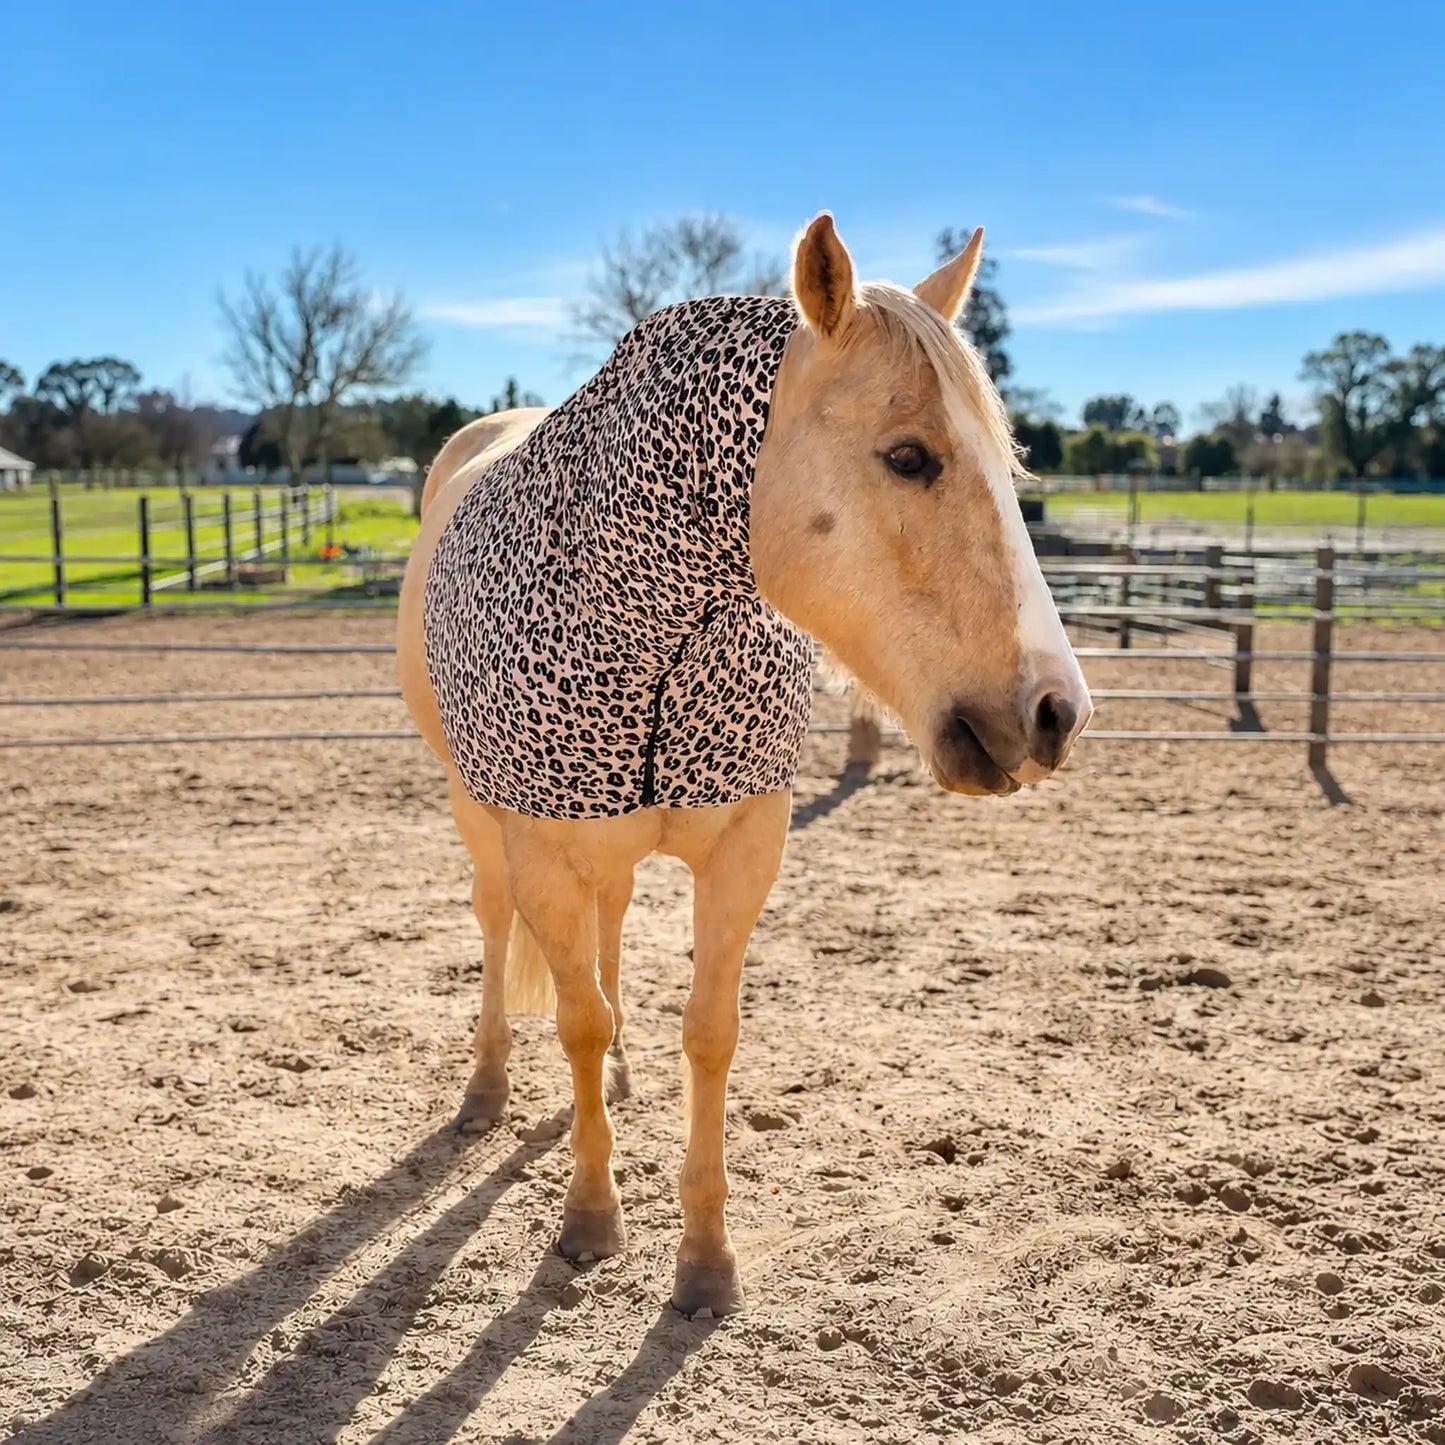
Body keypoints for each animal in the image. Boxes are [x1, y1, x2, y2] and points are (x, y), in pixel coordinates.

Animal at [396, 213, 1093, 1317]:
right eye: (908, 456)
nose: (1054, 711)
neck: (655, 635)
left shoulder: (743, 848)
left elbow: (706, 1031)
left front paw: (704, 1259)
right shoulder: (542, 853)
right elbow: (576, 1021)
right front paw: (589, 1221)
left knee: (611, 927)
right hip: (480, 817)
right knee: (497, 923)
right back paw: (487, 1089)